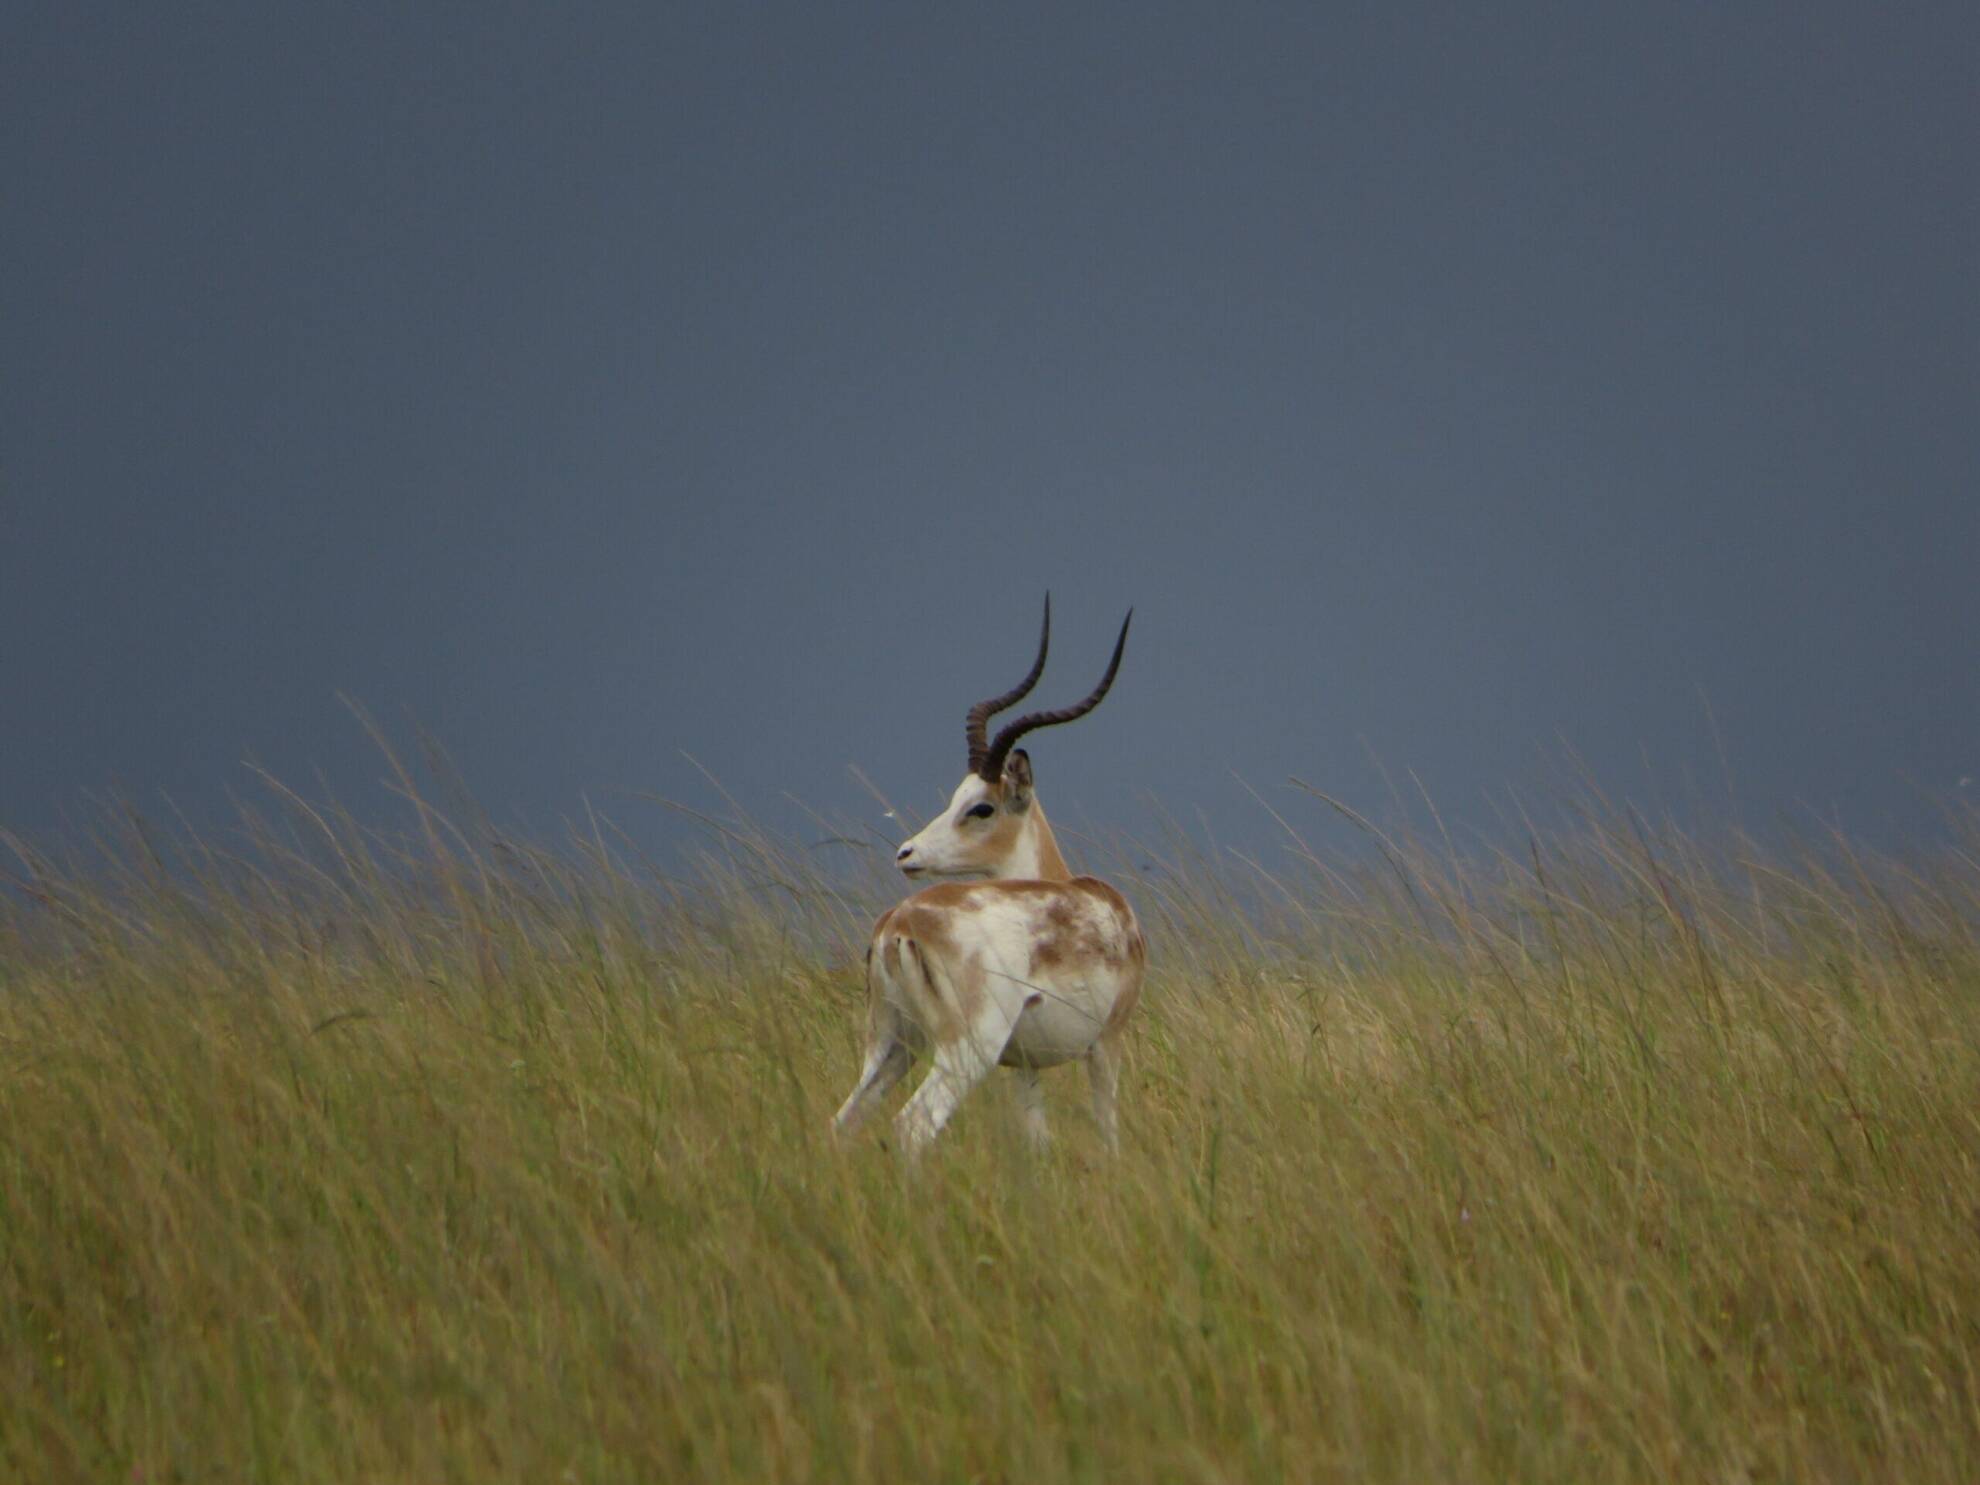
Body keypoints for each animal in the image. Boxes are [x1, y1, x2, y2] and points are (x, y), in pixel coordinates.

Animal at [832, 598, 1146, 1155]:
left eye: (979, 805)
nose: (906, 854)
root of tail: (899, 925)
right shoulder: (1106, 1042)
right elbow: (1108, 1133)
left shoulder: (1024, 1065)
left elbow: (1037, 1144)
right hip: (965, 1052)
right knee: (912, 1126)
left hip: (892, 1045)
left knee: (843, 1123)